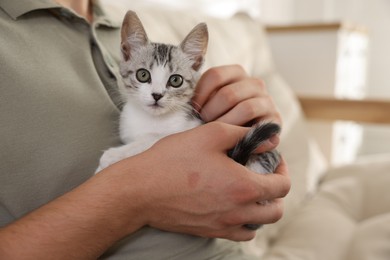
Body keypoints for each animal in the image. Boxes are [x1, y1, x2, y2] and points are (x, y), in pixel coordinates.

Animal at [96, 10, 280, 240]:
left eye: (175, 80)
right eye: (143, 74)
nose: (157, 95)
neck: (151, 119)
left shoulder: (193, 126)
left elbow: (152, 139)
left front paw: (111, 157)